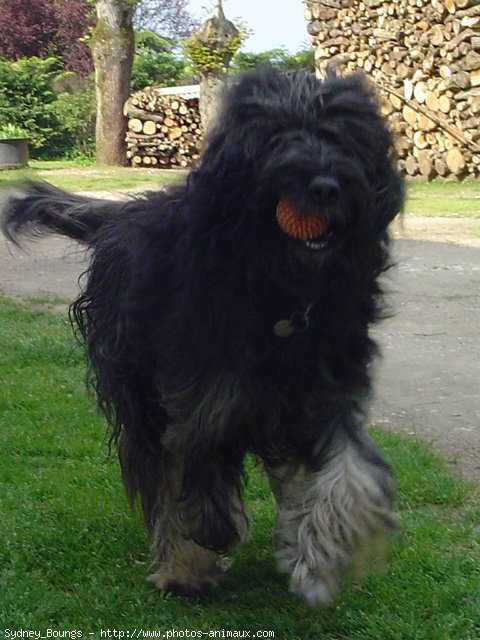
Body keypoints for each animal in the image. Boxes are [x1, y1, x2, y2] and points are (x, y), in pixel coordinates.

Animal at [1, 67, 404, 608]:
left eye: (341, 135)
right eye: (275, 137)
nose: (324, 187)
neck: (281, 288)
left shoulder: (324, 393)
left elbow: (350, 474)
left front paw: (316, 559)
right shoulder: (202, 390)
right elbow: (194, 460)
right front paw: (209, 538)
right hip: (136, 387)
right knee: (157, 467)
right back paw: (185, 568)